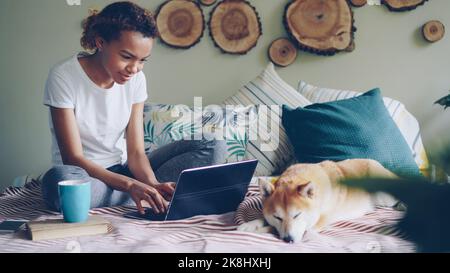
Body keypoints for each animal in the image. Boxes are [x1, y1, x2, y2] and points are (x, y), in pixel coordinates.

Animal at [239, 158, 398, 241]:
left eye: (297, 215)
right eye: (277, 217)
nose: (288, 240)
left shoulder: (318, 221)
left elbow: (273, 228)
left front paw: (261, 230)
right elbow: (265, 219)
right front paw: (250, 224)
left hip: (385, 197)